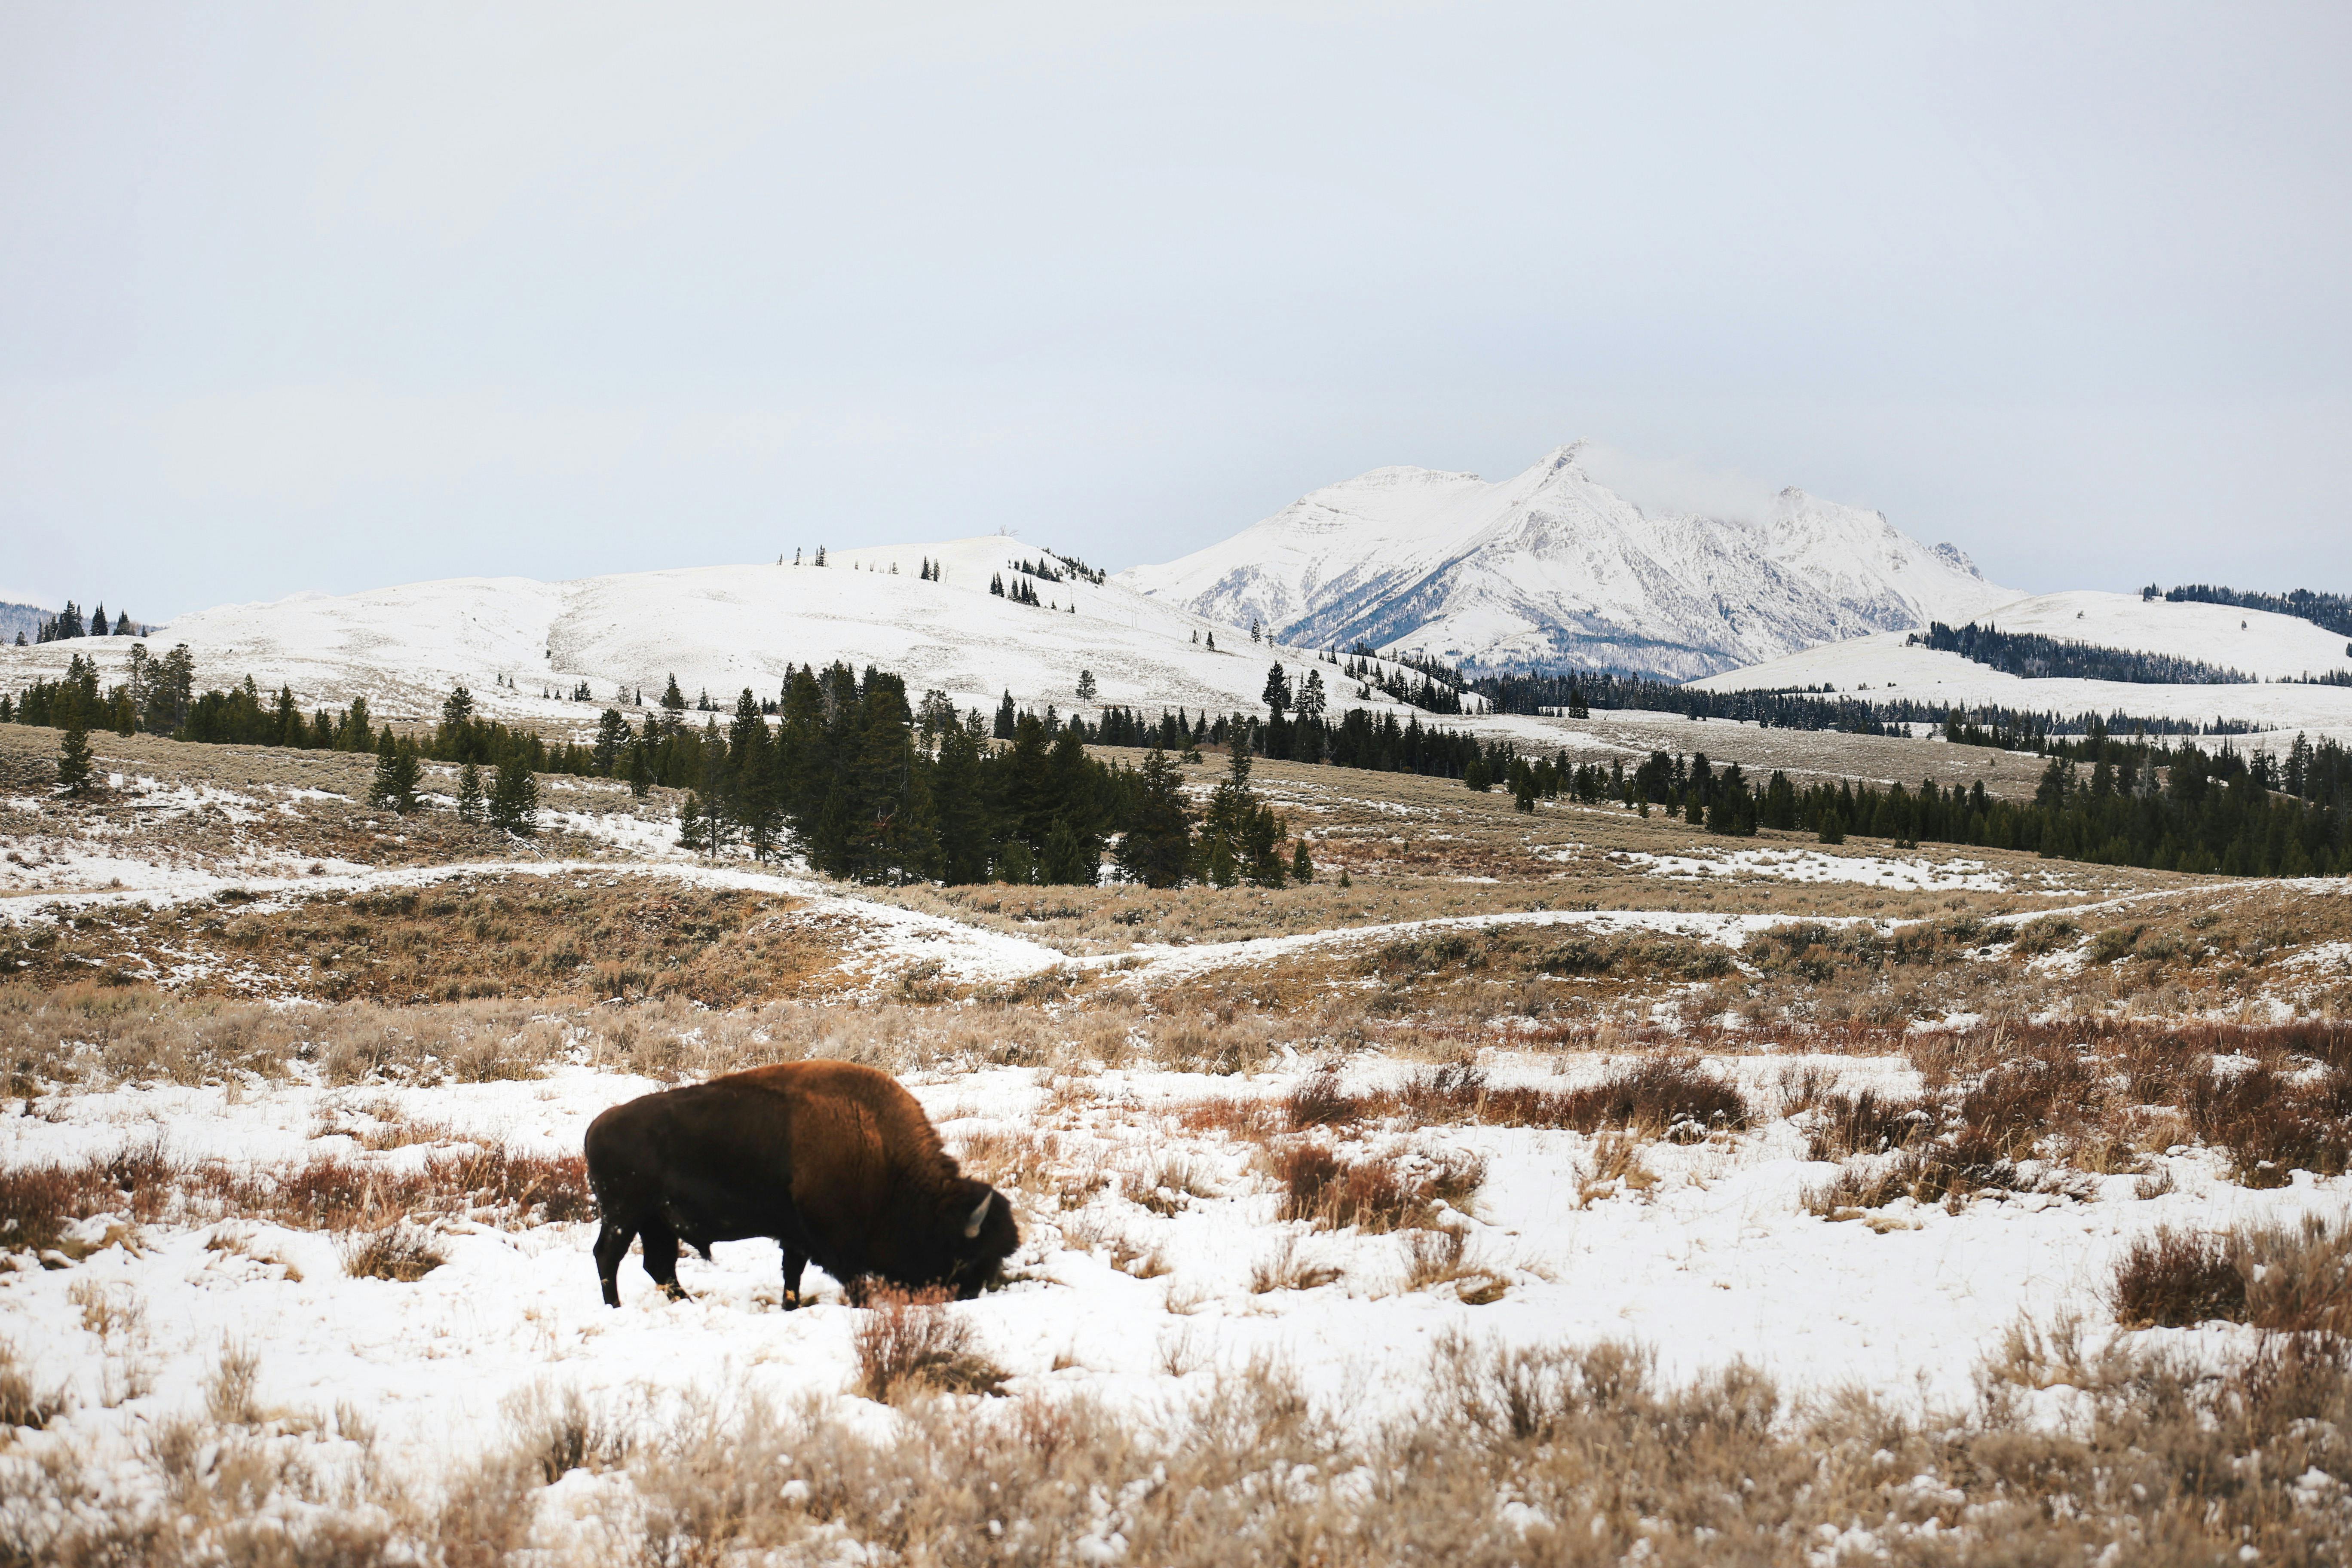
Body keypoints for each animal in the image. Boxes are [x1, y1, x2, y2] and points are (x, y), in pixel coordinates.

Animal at [583, 1060, 1018, 1309]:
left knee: (660, 1266)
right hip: (624, 1215)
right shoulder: (834, 1243)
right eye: (968, 1256)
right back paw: (615, 1307)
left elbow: (791, 1275)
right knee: (609, 1257)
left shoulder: (796, 1237)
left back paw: (686, 1305)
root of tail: (596, 1127)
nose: (969, 1296)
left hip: (656, 1222)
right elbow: (851, 1282)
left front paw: (789, 1306)